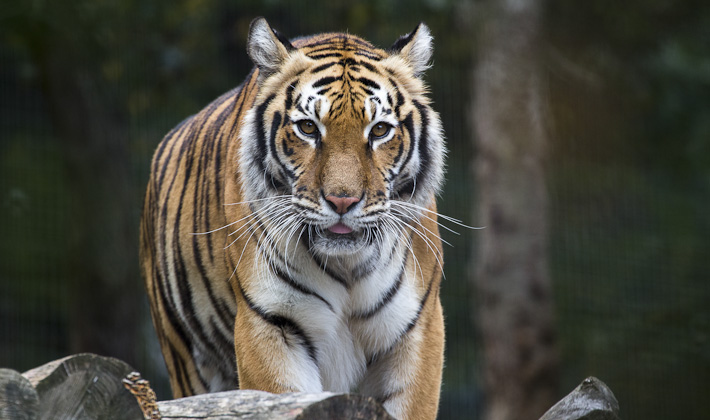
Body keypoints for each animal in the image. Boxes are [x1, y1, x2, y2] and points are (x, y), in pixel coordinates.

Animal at [140, 17, 444, 420]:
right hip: (187, 359)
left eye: (379, 130)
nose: (342, 200)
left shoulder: (416, 329)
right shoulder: (270, 324)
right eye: (309, 128)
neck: (347, 267)